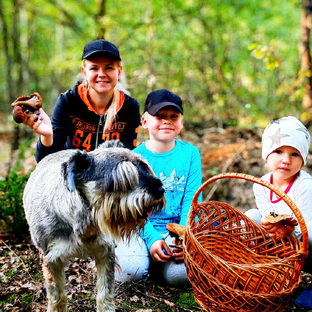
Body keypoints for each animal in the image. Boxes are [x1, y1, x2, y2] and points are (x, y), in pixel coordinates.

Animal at [23, 142, 166, 312]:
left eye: (144, 166)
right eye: (123, 178)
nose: (160, 190)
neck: (86, 223)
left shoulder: (106, 253)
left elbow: (105, 295)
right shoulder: (51, 260)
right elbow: (57, 298)